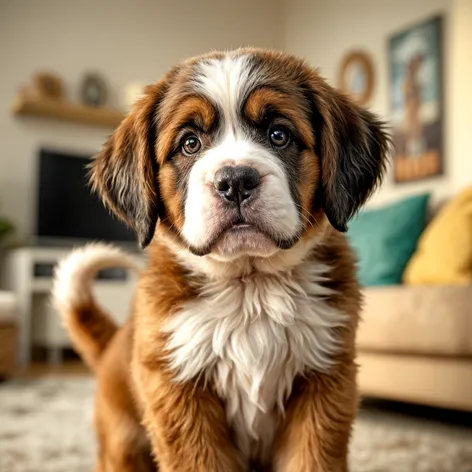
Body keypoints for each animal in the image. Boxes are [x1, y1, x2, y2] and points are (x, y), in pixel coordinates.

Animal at [53, 48, 390, 472]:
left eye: (279, 134)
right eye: (190, 143)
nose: (235, 181)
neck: (250, 287)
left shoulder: (324, 381)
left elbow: (312, 460)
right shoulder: (179, 392)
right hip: (124, 444)